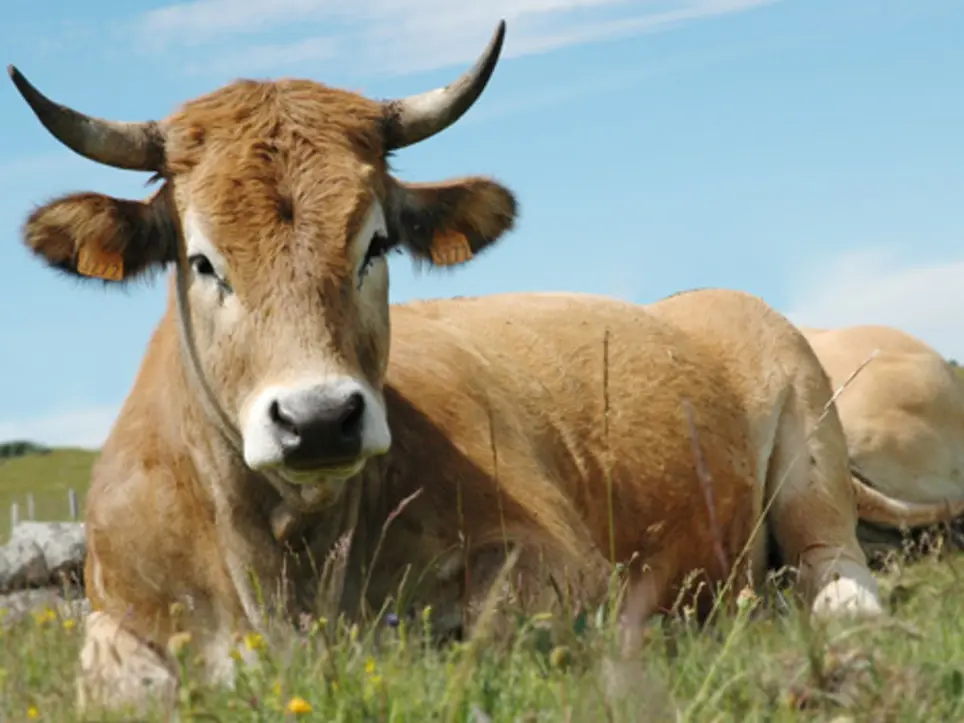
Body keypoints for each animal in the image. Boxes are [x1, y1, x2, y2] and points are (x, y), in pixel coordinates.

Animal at [8, 21, 898, 715]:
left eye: (375, 243)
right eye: (201, 261)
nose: (318, 418)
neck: (285, 563)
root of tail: (698, 299)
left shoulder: (562, 563)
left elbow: (486, 635)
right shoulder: (114, 617)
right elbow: (130, 684)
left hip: (812, 447)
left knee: (838, 574)